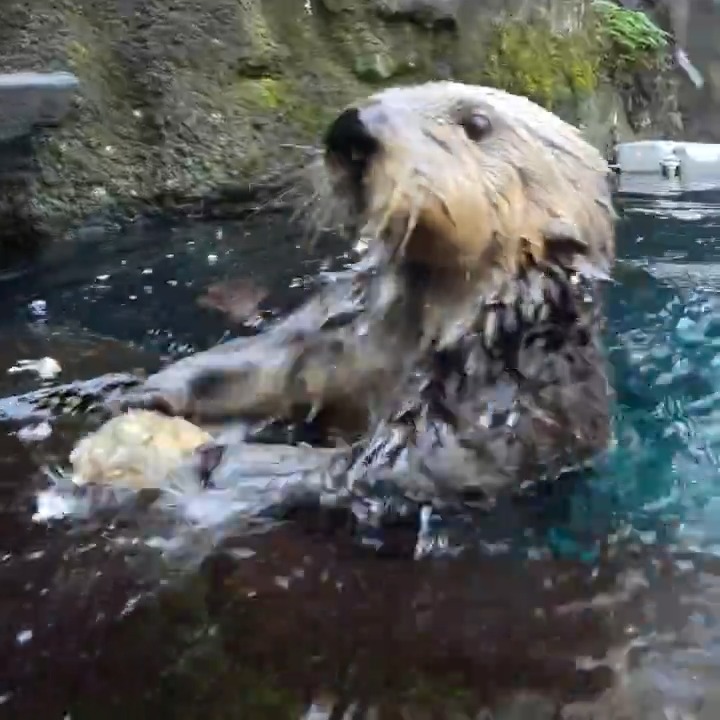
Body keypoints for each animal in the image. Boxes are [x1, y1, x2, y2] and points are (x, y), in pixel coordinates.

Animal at [98, 81, 617, 509]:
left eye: (477, 124)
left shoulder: (499, 405)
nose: (352, 129)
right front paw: (151, 390)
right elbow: (271, 362)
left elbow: (396, 470)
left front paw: (222, 460)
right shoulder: (342, 334)